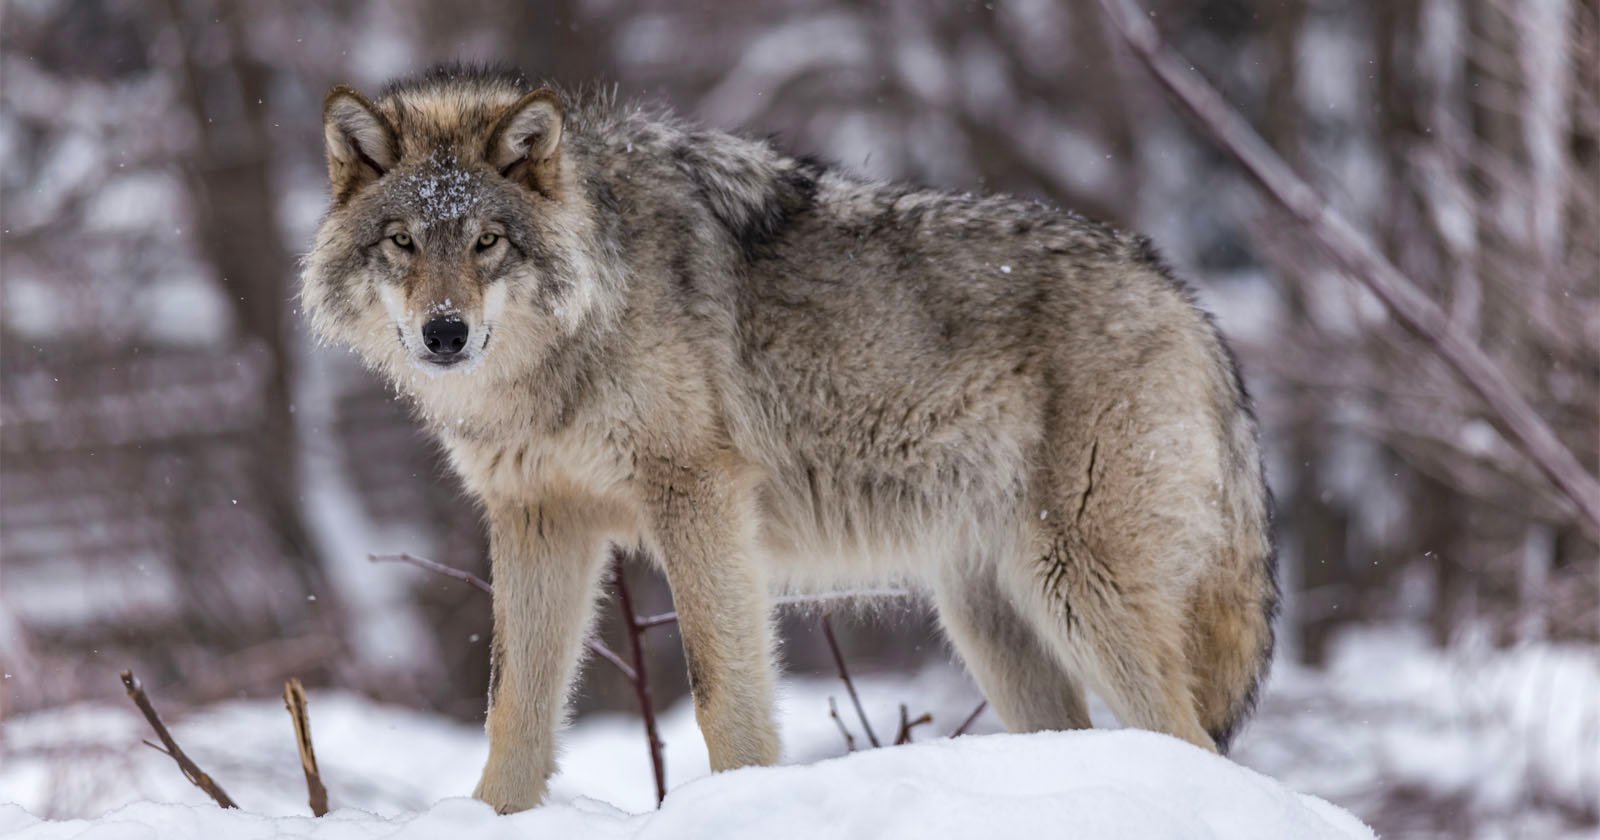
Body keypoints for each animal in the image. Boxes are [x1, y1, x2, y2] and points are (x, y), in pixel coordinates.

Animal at [297, 64, 1273, 812]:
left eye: (489, 241)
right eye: (403, 242)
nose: (445, 334)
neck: (572, 338)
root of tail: (1186, 300)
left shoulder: (697, 495)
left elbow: (721, 691)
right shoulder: (538, 517)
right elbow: (514, 709)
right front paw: (492, 818)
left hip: (1080, 592)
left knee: (1191, 738)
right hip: (993, 619)